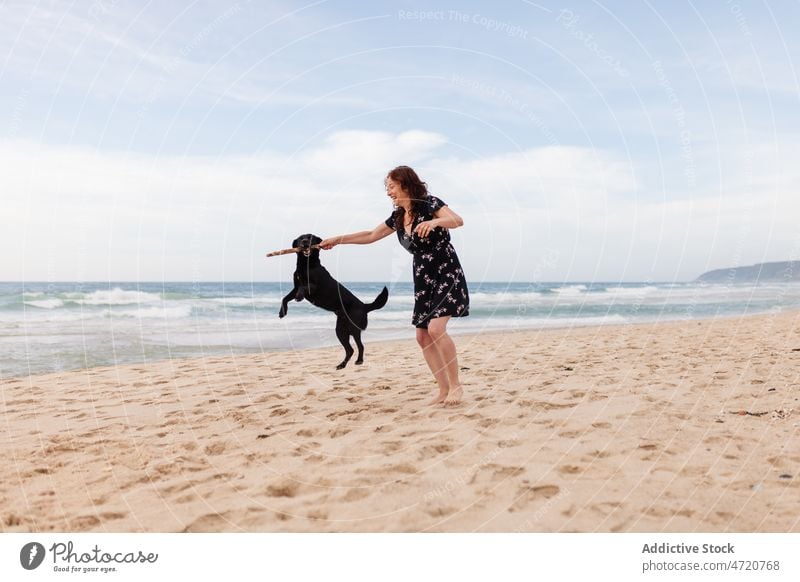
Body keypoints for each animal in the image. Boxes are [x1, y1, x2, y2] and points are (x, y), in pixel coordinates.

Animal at [280, 234, 390, 368]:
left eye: (310, 237)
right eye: (301, 238)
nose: (305, 242)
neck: (306, 264)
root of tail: (364, 306)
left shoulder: (313, 286)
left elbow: (304, 287)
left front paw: (299, 297)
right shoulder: (295, 287)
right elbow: (285, 298)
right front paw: (282, 312)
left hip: (354, 329)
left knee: (360, 346)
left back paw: (359, 360)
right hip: (340, 331)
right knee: (350, 350)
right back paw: (342, 365)